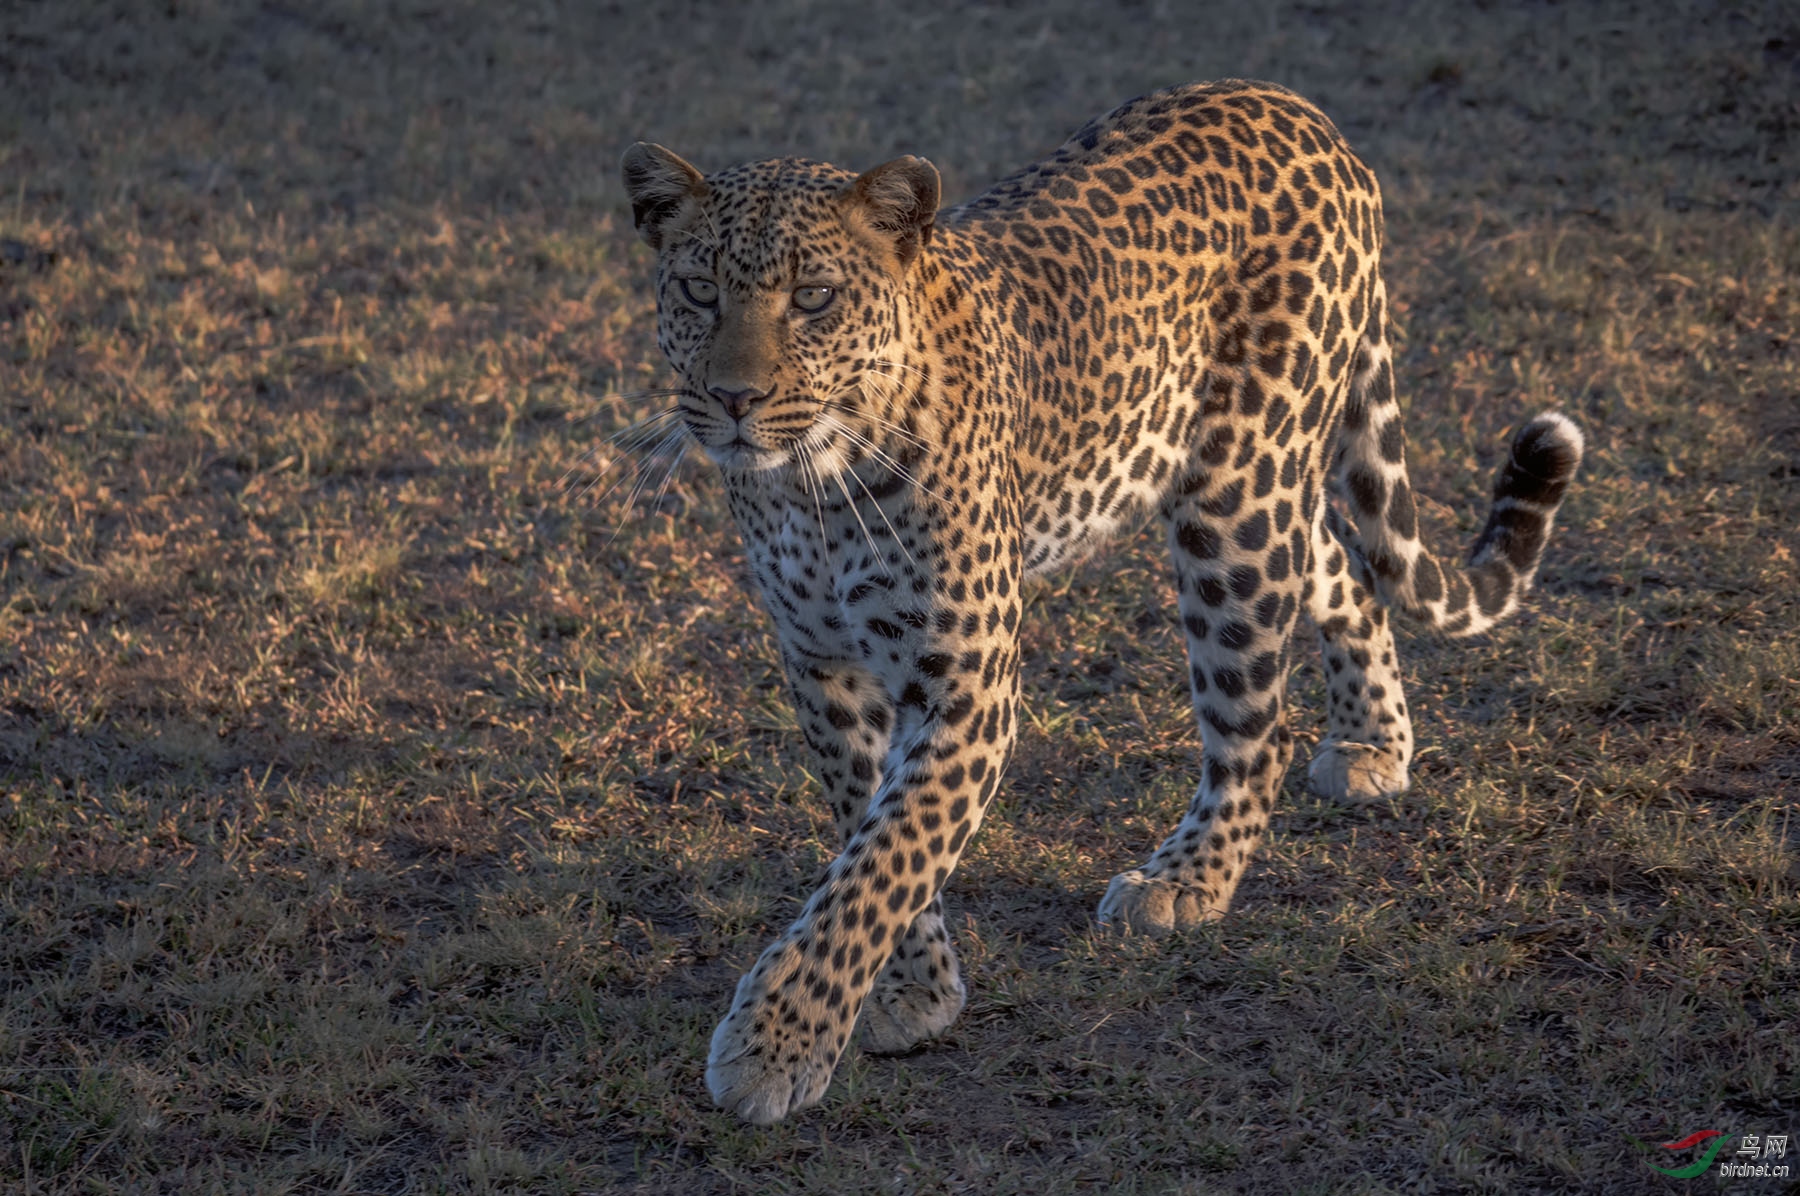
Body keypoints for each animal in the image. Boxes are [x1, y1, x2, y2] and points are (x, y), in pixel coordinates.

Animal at [626, 79, 1584, 1123]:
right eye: (697, 291)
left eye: (814, 299)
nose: (734, 399)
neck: (813, 485)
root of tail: (1303, 111)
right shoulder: (822, 665)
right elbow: (868, 833)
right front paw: (911, 988)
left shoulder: (968, 683)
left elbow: (888, 857)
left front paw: (775, 1042)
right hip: (1244, 489)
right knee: (1342, 563)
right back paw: (1374, 742)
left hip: (1235, 504)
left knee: (1257, 725)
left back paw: (1187, 879)